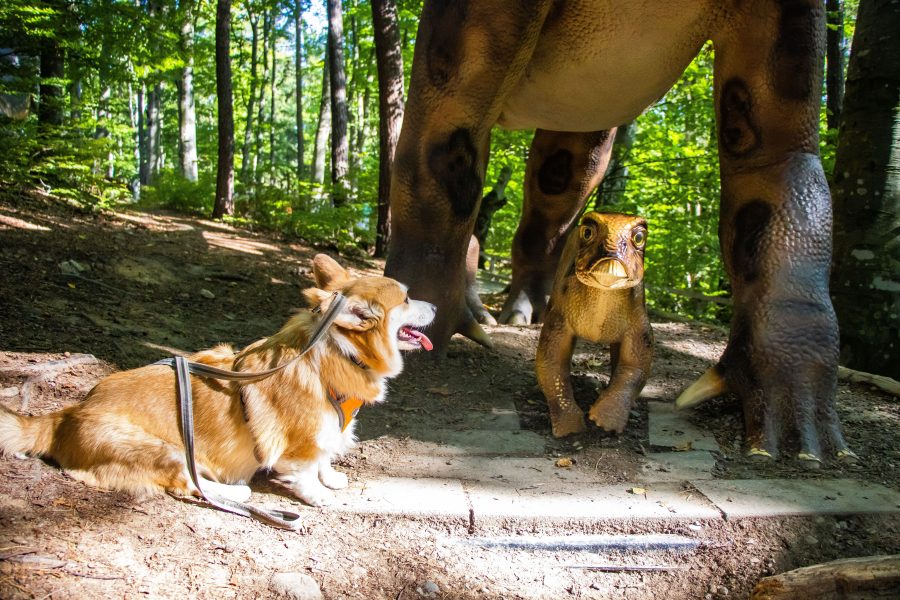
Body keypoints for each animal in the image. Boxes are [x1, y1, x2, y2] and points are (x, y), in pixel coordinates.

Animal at [0, 253, 436, 506]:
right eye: (407, 299)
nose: (435, 305)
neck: (337, 350)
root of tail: (63, 417)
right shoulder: (302, 441)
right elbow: (306, 469)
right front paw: (317, 495)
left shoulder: (330, 428)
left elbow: (328, 454)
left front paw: (332, 479)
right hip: (165, 449)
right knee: (186, 482)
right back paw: (234, 489)